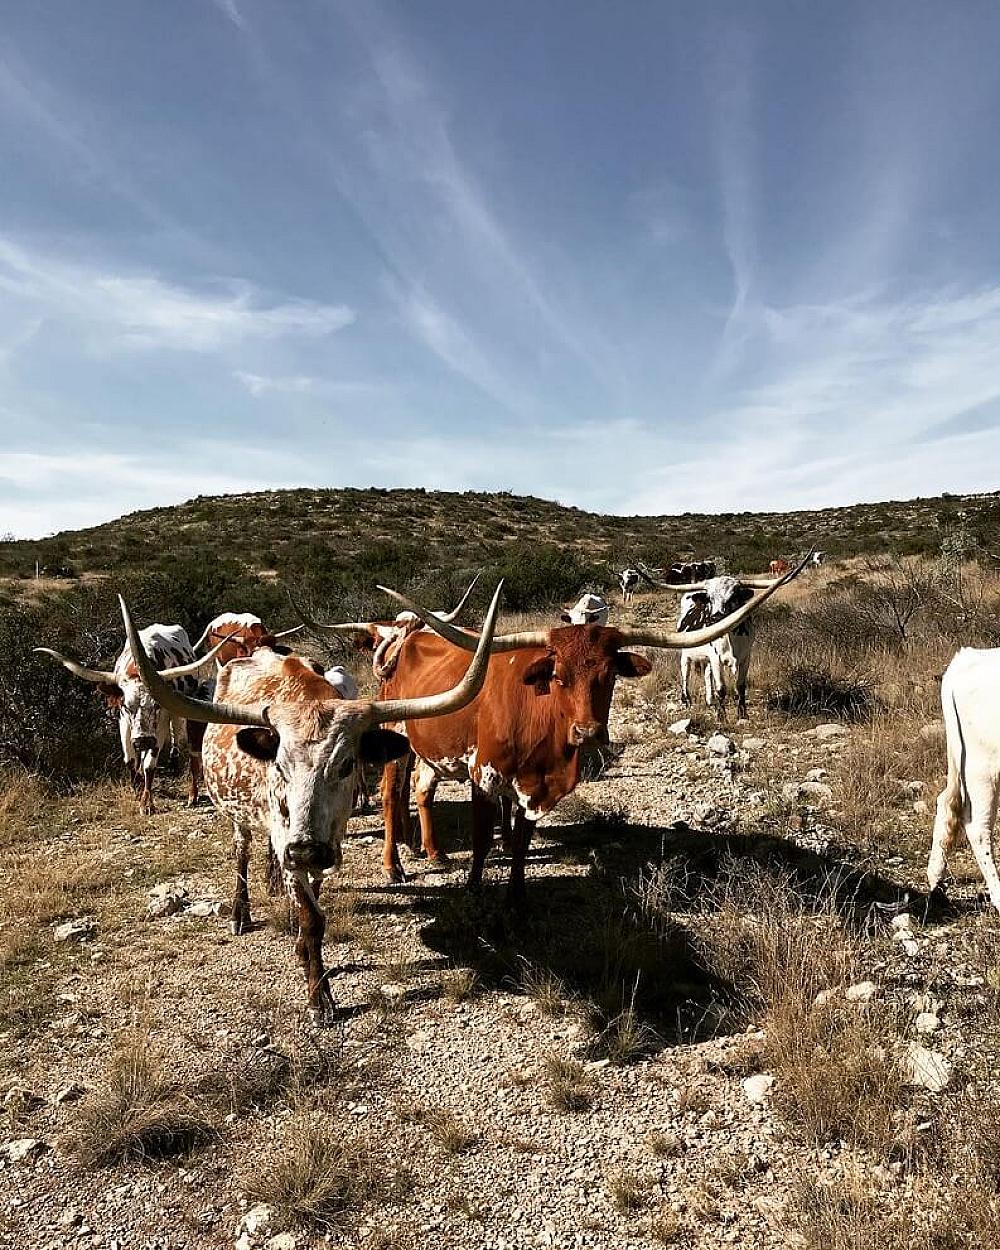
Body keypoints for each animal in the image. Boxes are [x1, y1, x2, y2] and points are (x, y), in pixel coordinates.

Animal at [34, 626, 226, 813]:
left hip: (176, 715)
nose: (143, 741)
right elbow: (130, 759)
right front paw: (137, 789)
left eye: (156, 705)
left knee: (178, 738)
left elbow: (150, 764)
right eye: (126, 706)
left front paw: (147, 803)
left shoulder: (160, 724)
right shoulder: (124, 722)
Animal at [118, 583, 503, 1020]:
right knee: (242, 850)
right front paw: (319, 994)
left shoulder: (326, 842)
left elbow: (314, 911)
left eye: (347, 764)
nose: (304, 850)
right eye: (279, 765)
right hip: (238, 816)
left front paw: (310, 958)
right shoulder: (293, 842)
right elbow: (309, 914)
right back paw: (240, 911)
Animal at [309, 557, 808, 904]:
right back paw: (395, 865)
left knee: (422, 790)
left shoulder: (534, 785)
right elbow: (481, 839)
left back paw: (431, 852)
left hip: (434, 749)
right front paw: (475, 888)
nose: (588, 733)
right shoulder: (484, 777)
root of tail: (404, 638)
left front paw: (515, 895)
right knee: (392, 793)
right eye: (559, 676)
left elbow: (521, 841)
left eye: (609, 675)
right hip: (398, 739)